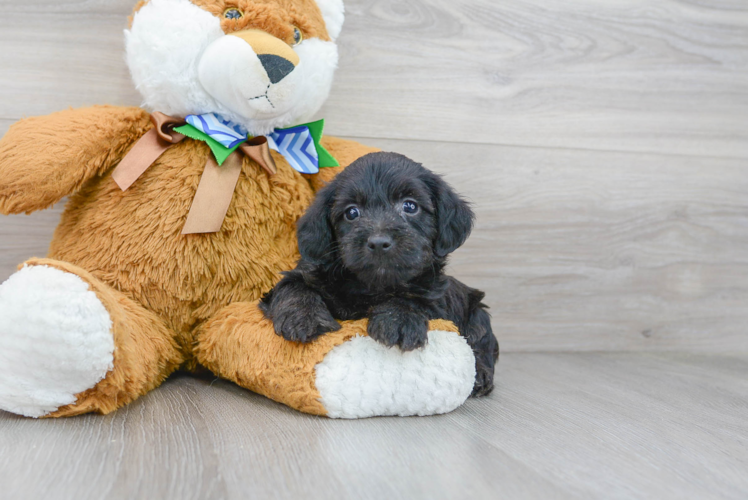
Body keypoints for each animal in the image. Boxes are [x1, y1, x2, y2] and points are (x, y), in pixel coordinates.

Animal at [260, 152, 500, 394]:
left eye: (410, 206)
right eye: (352, 212)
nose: (378, 242)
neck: (372, 285)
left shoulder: (435, 300)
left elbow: (411, 297)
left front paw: (399, 320)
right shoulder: (302, 274)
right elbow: (295, 286)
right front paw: (304, 317)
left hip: (476, 311)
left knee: (482, 341)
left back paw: (480, 375)